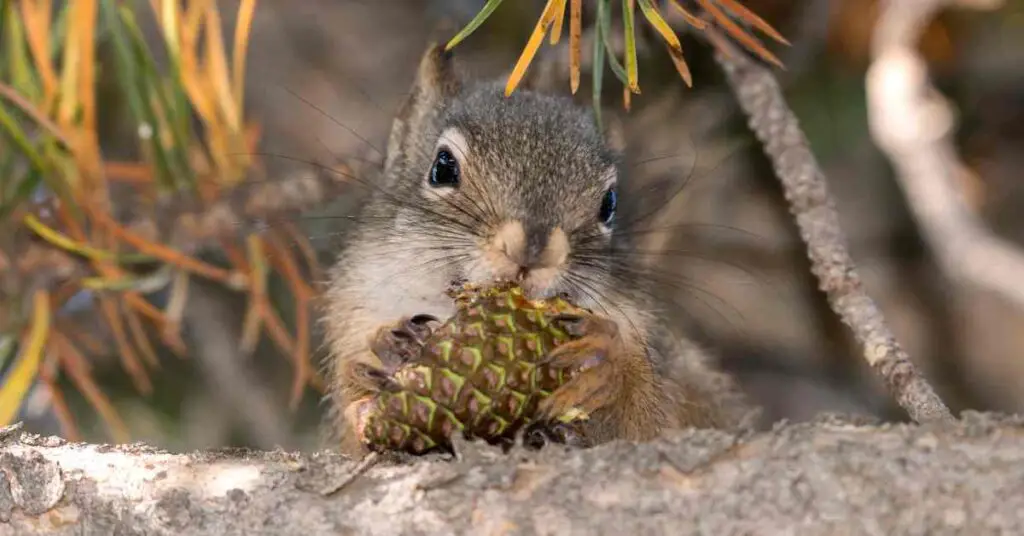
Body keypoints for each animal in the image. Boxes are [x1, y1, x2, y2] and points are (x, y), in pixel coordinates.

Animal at [319, 42, 753, 457]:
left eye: (609, 204)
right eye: (442, 167)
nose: (532, 249)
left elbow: (645, 420)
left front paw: (601, 361)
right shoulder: (356, 316)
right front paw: (385, 356)